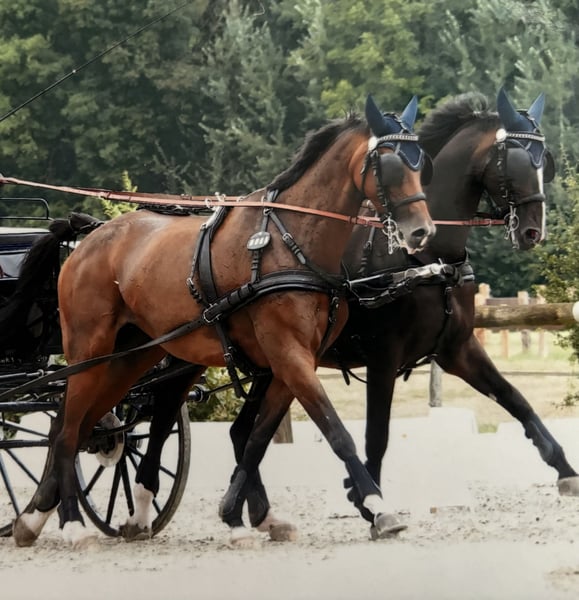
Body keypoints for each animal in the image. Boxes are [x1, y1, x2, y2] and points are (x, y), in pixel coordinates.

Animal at [10, 94, 435, 548]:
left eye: (421, 164)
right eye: (389, 165)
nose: (421, 232)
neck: (291, 243)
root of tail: (89, 236)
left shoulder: (290, 364)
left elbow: (256, 441)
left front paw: (235, 513)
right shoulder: (290, 356)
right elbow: (336, 431)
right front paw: (378, 507)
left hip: (130, 356)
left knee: (77, 426)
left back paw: (35, 517)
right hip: (87, 351)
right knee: (68, 431)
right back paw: (72, 523)